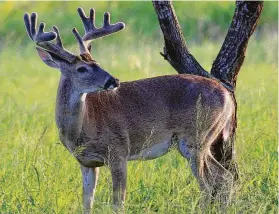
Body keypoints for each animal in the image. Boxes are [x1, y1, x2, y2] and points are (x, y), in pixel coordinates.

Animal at [23, 6, 240, 212]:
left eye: (97, 62)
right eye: (82, 69)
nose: (113, 80)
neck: (83, 127)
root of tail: (227, 94)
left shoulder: (119, 151)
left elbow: (118, 203)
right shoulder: (86, 162)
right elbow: (87, 202)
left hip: (196, 138)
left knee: (208, 185)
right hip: (202, 140)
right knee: (225, 177)